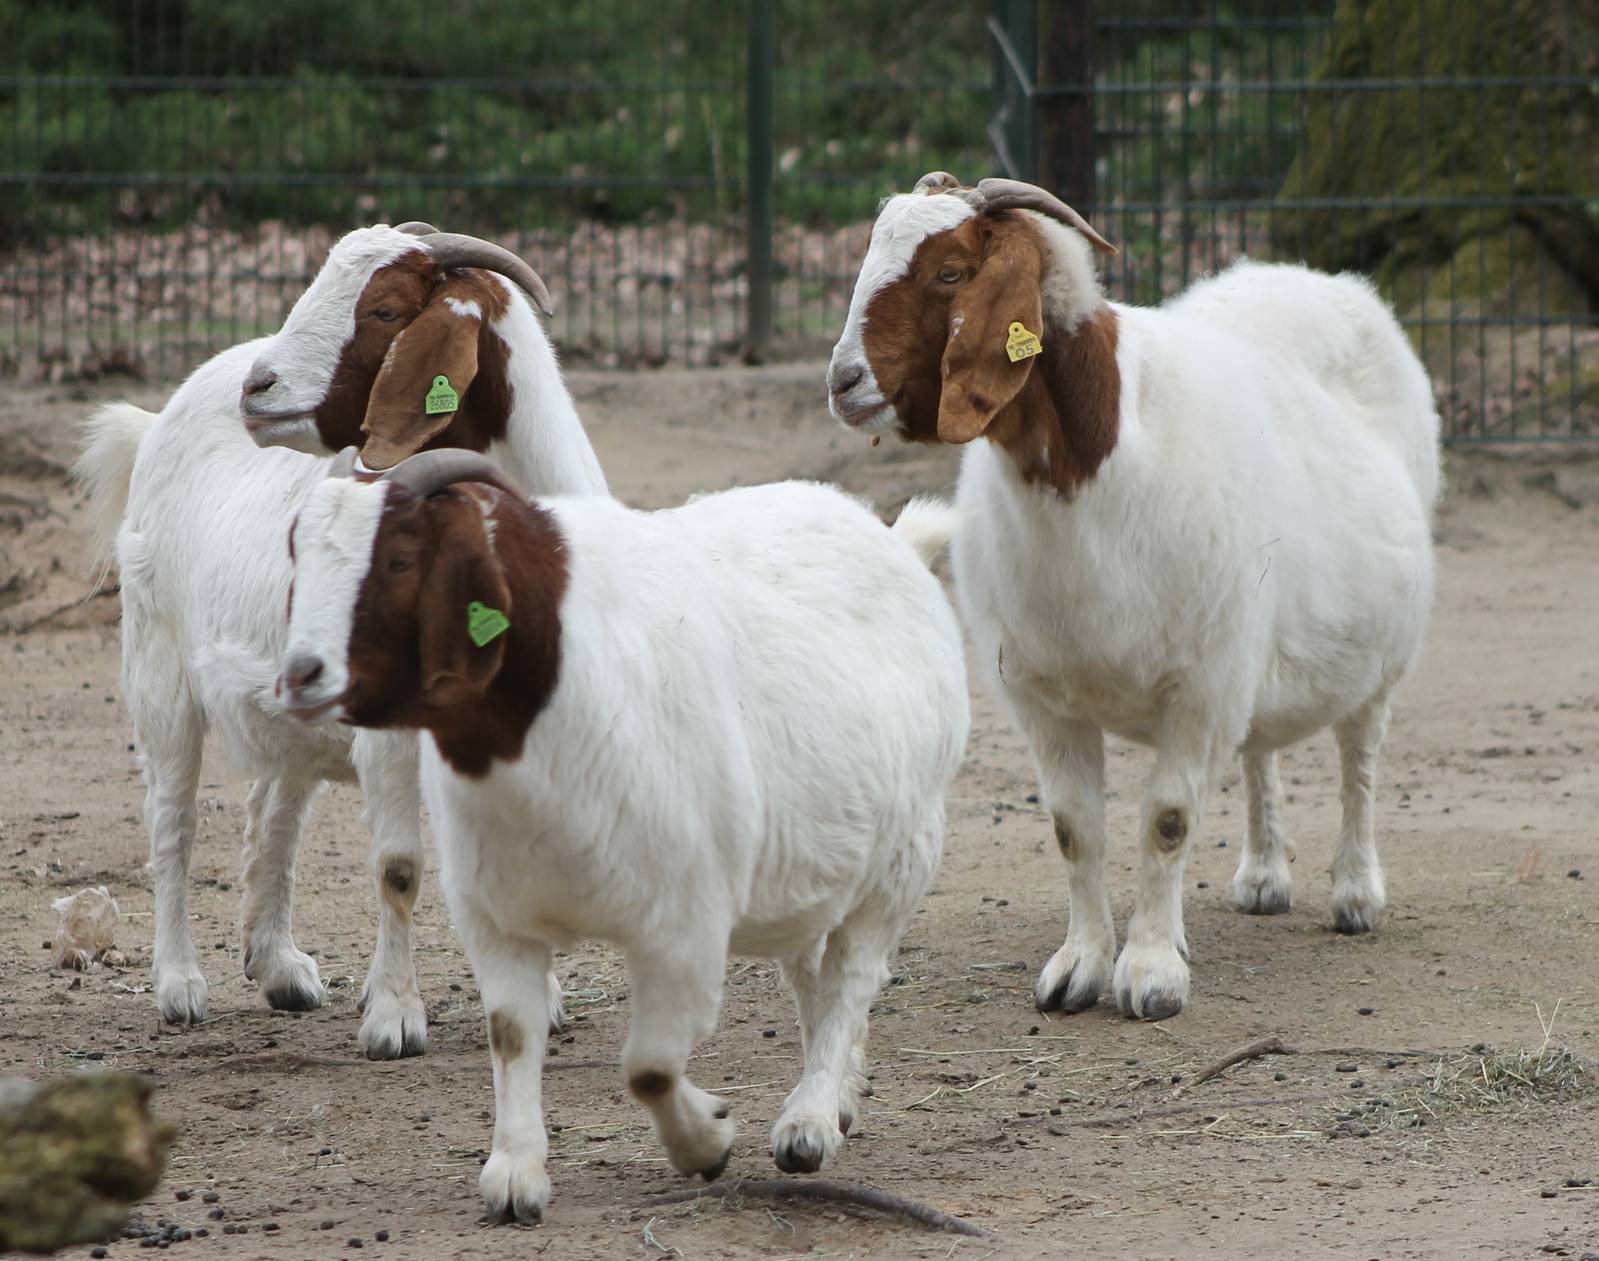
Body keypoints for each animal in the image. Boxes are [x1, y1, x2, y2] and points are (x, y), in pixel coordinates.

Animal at [74, 224, 606, 1059]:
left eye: (383, 309)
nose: (258, 388)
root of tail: (159, 417)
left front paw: (539, 1003)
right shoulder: (392, 731)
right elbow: (398, 866)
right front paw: (393, 1016)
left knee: (275, 808)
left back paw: (278, 967)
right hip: (157, 671)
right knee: (172, 819)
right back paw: (179, 983)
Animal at [277, 448, 970, 1222]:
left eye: (399, 558)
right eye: (298, 554)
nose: (301, 673)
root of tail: (892, 538)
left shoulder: (682, 927)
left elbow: (650, 1068)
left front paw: (706, 1141)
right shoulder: (497, 917)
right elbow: (511, 1033)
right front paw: (515, 1173)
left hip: (904, 852)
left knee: (852, 975)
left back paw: (809, 1122)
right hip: (814, 859)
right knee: (814, 976)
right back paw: (838, 1098)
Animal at [826, 172, 1439, 1021]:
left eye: (949, 272)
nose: (841, 382)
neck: (1093, 466)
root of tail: (1303, 276)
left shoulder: (1199, 685)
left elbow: (1166, 822)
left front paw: (1150, 972)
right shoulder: (1044, 696)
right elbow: (1074, 830)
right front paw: (1080, 966)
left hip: (1375, 654)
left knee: (1359, 760)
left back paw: (1354, 891)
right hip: (1253, 646)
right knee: (1260, 750)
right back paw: (1262, 874)